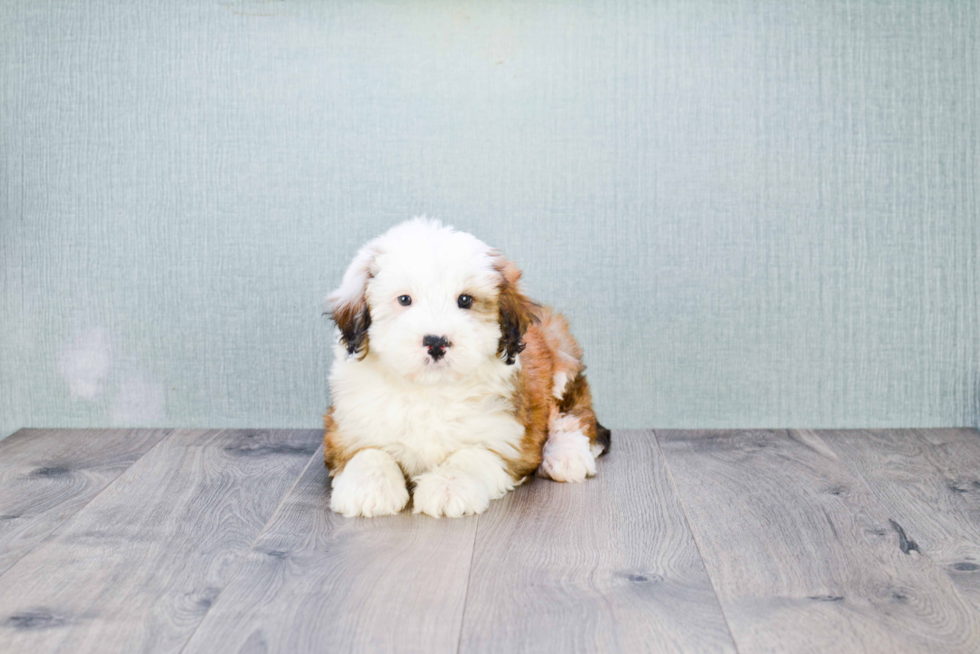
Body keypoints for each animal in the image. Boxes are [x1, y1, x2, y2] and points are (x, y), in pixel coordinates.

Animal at [326, 218, 608, 520]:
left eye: (465, 300)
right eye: (404, 300)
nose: (436, 342)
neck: (430, 389)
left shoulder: (508, 438)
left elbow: (472, 455)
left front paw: (449, 486)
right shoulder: (344, 428)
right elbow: (367, 451)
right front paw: (370, 487)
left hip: (561, 358)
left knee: (573, 414)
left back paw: (565, 456)